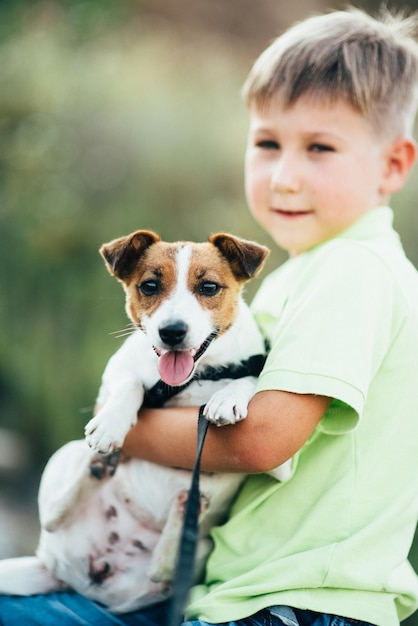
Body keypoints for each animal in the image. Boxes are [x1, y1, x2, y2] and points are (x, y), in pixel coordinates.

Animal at [0, 229, 290, 608]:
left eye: (209, 287)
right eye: (150, 286)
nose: (172, 331)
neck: (194, 377)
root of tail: (78, 576)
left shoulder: (281, 463)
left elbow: (249, 377)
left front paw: (227, 397)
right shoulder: (113, 377)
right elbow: (131, 383)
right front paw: (111, 423)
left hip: (202, 550)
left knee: (161, 569)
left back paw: (182, 512)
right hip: (65, 454)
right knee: (51, 517)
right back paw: (97, 469)